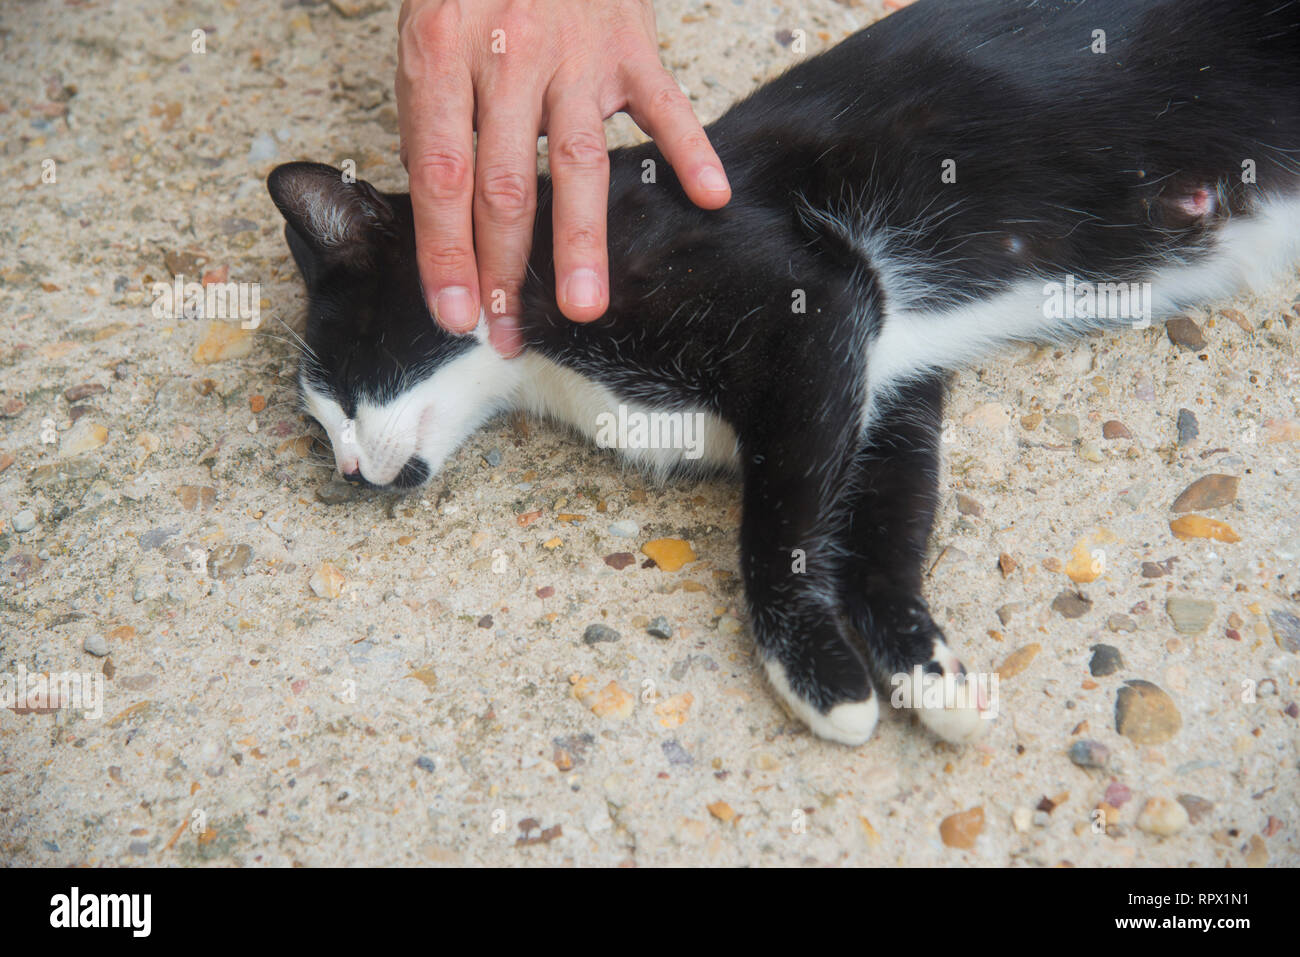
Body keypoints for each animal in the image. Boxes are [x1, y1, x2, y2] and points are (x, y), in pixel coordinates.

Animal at [263, 0, 1300, 748]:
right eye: (317, 424)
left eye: (343, 379)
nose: (344, 469)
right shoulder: (884, 380)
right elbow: (880, 534)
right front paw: (926, 671)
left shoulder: (817, 307)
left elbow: (776, 534)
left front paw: (820, 676)